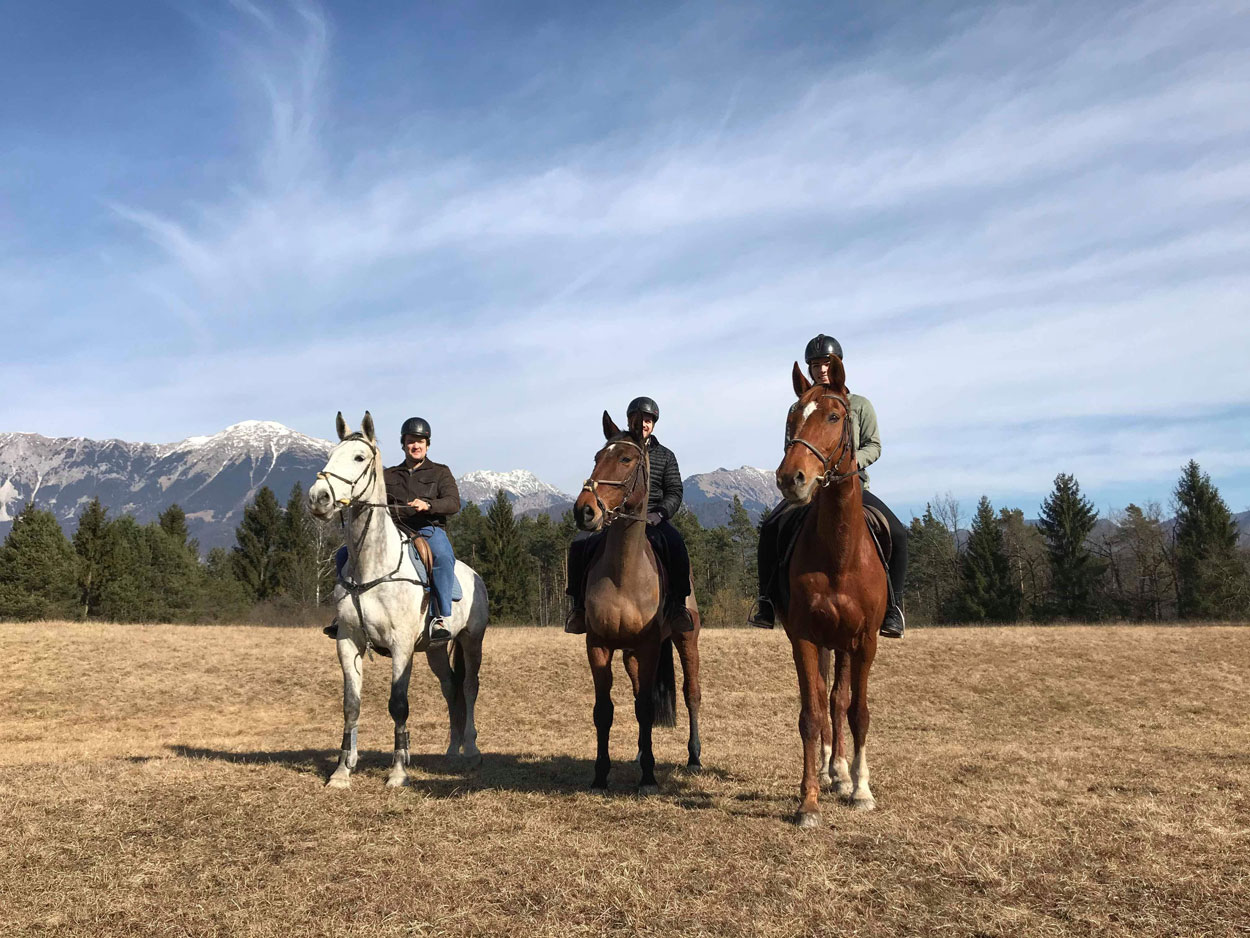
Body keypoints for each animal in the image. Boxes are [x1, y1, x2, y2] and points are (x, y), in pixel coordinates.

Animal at [307, 411, 489, 789]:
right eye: (331, 455)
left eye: (358, 457)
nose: (318, 498)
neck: (372, 566)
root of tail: (474, 575)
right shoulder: (348, 641)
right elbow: (351, 704)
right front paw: (343, 770)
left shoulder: (401, 645)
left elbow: (398, 704)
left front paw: (398, 770)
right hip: (436, 649)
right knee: (450, 687)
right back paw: (452, 750)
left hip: (471, 640)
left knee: (468, 687)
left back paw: (470, 749)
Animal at [572, 410, 703, 794]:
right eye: (597, 457)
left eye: (626, 459)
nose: (584, 512)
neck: (623, 575)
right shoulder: (598, 644)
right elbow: (605, 710)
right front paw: (601, 775)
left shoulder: (649, 646)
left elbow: (646, 709)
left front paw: (648, 776)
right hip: (630, 655)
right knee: (634, 696)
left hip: (686, 640)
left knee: (691, 693)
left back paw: (694, 757)